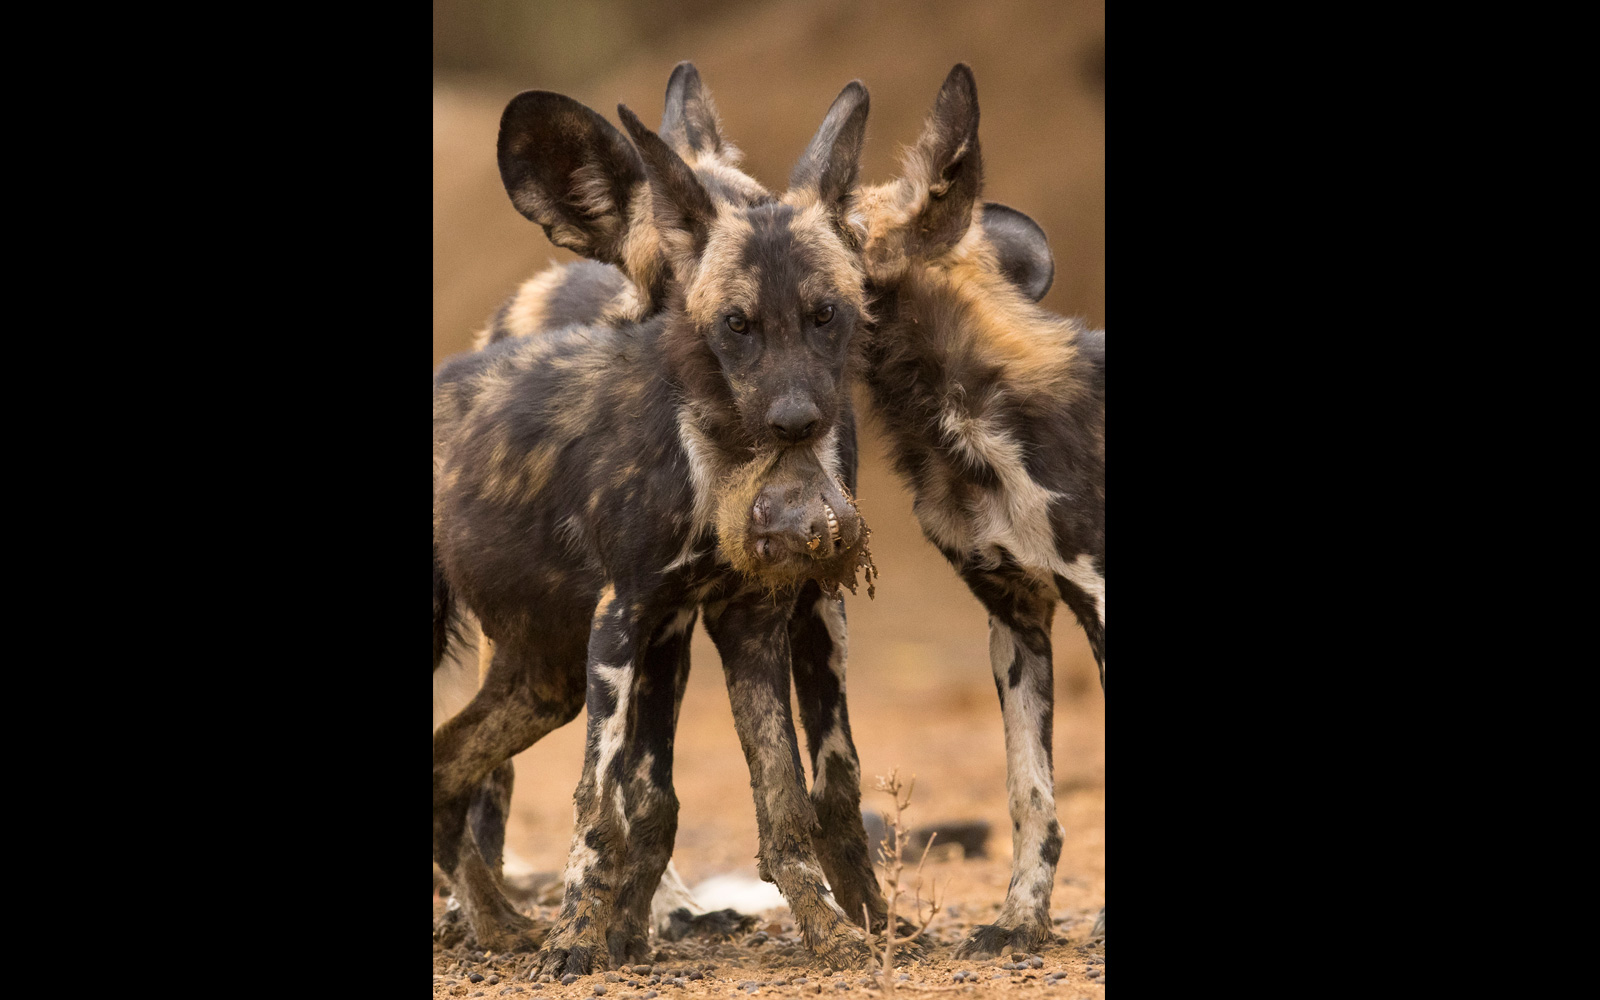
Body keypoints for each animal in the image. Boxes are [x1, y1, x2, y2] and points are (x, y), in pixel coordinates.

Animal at [432, 74, 896, 972]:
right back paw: (501, 920)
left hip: (543, 676)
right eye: (730, 320)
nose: (794, 419)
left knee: (446, 766)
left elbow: (798, 795)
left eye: (827, 314)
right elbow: (605, 803)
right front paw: (586, 938)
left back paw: (500, 922)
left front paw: (841, 928)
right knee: (490, 785)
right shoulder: (630, 620)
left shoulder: (765, 616)